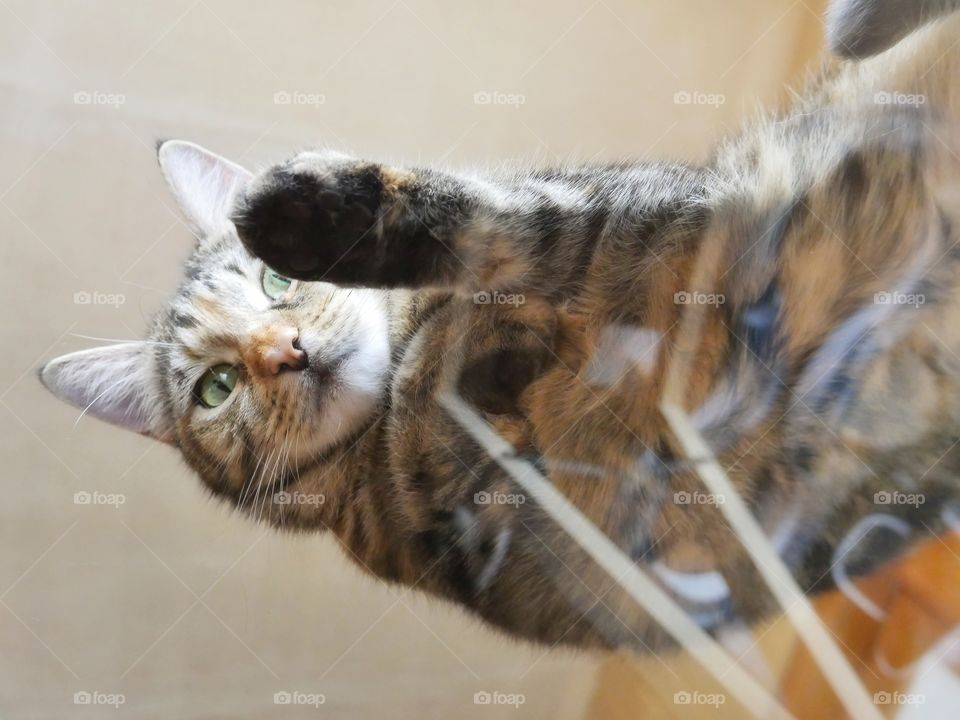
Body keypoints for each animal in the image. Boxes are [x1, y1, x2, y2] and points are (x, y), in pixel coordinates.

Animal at [41, 1, 960, 652]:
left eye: (277, 283)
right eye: (217, 388)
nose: (286, 351)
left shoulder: (642, 214)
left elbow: (492, 221)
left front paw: (315, 215)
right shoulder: (528, 551)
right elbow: (451, 448)